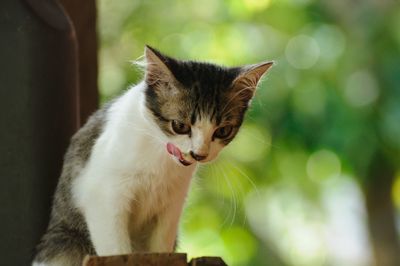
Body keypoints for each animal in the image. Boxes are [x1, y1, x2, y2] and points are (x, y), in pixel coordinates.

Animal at [32, 46, 274, 266]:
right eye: (179, 126)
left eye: (223, 131)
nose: (199, 154)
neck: (160, 155)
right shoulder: (104, 197)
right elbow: (116, 249)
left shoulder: (172, 205)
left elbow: (161, 246)